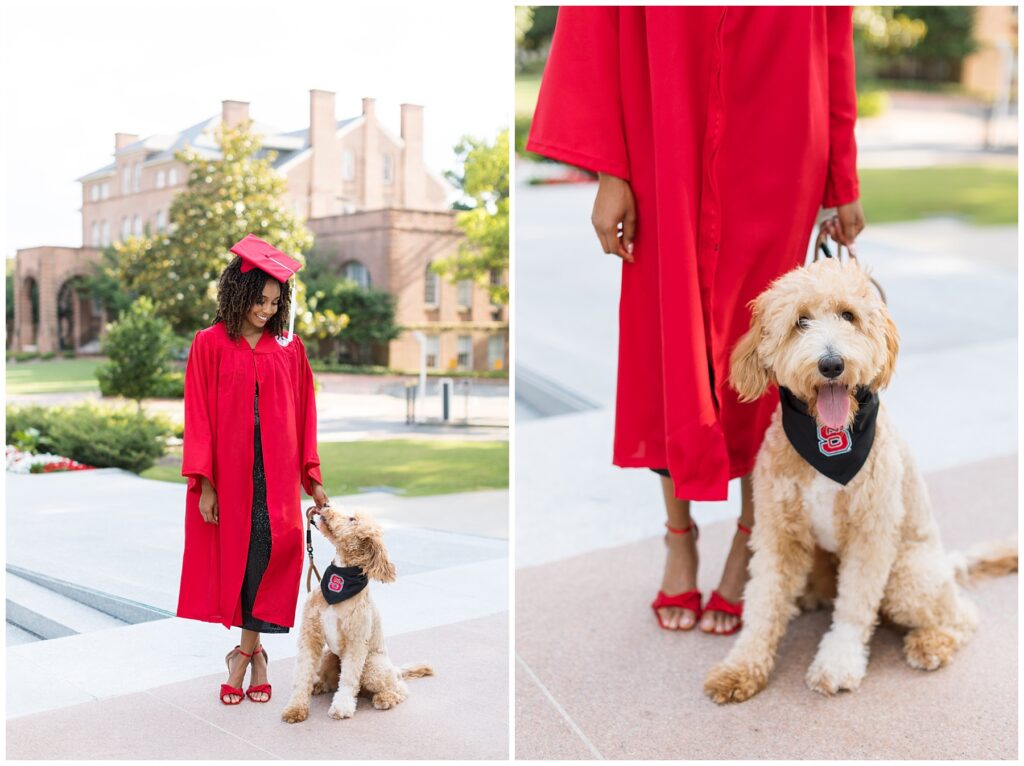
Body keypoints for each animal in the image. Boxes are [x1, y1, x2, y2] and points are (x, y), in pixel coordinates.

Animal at [282, 505, 434, 720]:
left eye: (352, 519)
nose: (325, 506)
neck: (342, 579)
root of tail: (395, 669)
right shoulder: (310, 635)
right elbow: (302, 675)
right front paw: (295, 708)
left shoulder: (356, 641)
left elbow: (348, 679)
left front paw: (342, 707)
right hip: (329, 657)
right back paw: (319, 685)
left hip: (372, 665)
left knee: (400, 689)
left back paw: (385, 698)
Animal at [704, 259, 1015, 704]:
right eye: (800, 321)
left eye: (848, 316)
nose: (831, 364)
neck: (828, 445)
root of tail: (947, 563)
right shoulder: (779, 533)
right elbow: (762, 605)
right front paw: (741, 667)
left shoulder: (871, 533)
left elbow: (854, 607)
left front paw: (836, 664)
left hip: (907, 576)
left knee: (964, 616)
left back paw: (931, 643)